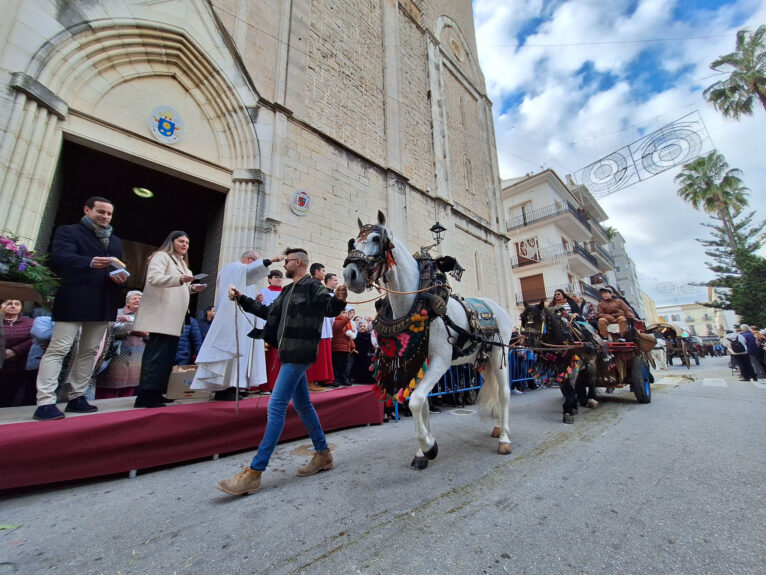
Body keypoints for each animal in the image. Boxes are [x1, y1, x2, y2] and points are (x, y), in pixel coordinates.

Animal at [344, 212, 516, 468]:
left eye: (376, 238)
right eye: (353, 242)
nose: (350, 275)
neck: (418, 303)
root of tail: (497, 308)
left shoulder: (440, 362)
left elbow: (415, 401)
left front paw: (429, 446)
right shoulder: (417, 363)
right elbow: (422, 403)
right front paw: (422, 452)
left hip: (499, 354)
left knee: (504, 392)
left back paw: (504, 437)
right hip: (481, 360)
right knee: (493, 386)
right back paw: (497, 428)